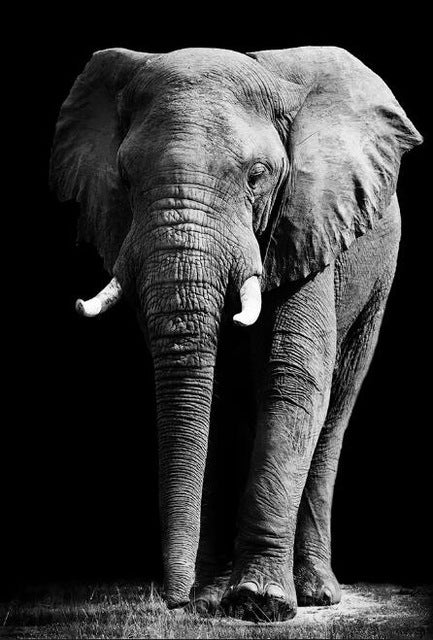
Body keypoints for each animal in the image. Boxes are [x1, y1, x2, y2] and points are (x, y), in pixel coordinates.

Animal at [50, 45, 422, 621]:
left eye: (257, 175)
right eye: (124, 179)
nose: (174, 602)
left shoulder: (307, 221)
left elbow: (293, 380)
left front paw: (259, 603)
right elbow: (216, 395)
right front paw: (211, 600)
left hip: (380, 275)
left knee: (336, 405)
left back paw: (315, 594)